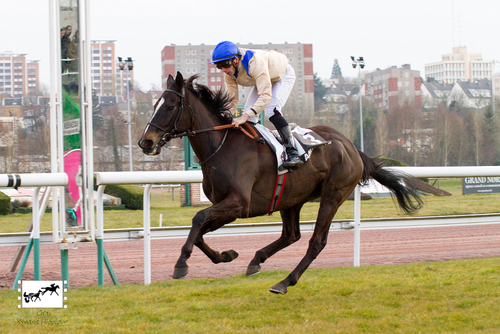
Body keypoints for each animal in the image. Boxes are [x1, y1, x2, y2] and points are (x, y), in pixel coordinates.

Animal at [138, 72, 422, 294]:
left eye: (170, 106)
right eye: (154, 105)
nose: (146, 142)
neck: (222, 147)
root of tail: (351, 146)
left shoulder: (239, 203)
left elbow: (197, 218)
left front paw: (181, 264)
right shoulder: (227, 207)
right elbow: (199, 231)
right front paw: (226, 255)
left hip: (333, 194)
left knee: (316, 242)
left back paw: (284, 282)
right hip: (291, 198)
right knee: (291, 234)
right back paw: (256, 260)